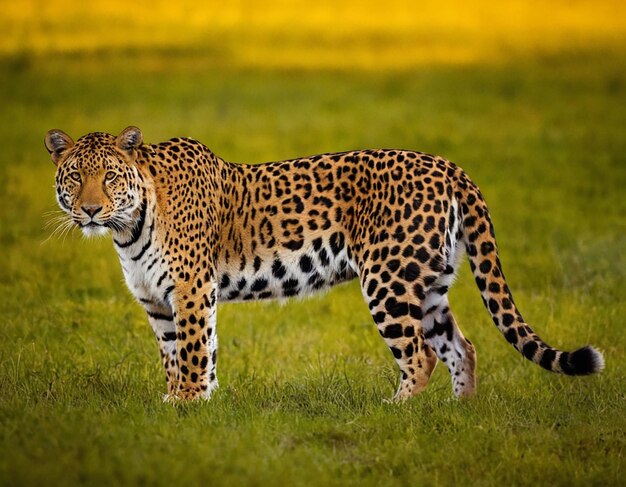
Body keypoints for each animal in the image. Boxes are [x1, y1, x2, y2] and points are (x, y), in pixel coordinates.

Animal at [46, 127, 604, 402]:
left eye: (110, 177)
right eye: (74, 177)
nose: (90, 209)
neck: (128, 228)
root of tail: (449, 166)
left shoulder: (190, 290)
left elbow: (192, 350)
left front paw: (188, 402)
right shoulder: (157, 301)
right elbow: (176, 354)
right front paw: (184, 401)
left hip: (387, 278)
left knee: (420, 354)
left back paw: (397, 412)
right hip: (429, 283)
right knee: (460, 347)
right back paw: (457, 413)